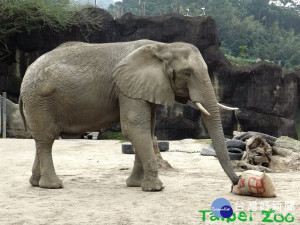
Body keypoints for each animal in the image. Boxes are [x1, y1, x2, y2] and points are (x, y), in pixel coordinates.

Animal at [19, 39, 239, 191]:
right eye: (187, 73)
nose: (236, 183)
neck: (162, 46)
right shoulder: (126, 88)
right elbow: (134, 127)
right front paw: (155, 188)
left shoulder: (142, 89)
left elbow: (147, 130)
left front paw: (135, 185)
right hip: (39, 99)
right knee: (47, 138)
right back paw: (53, 186)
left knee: (41, 139)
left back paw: (35, 183)